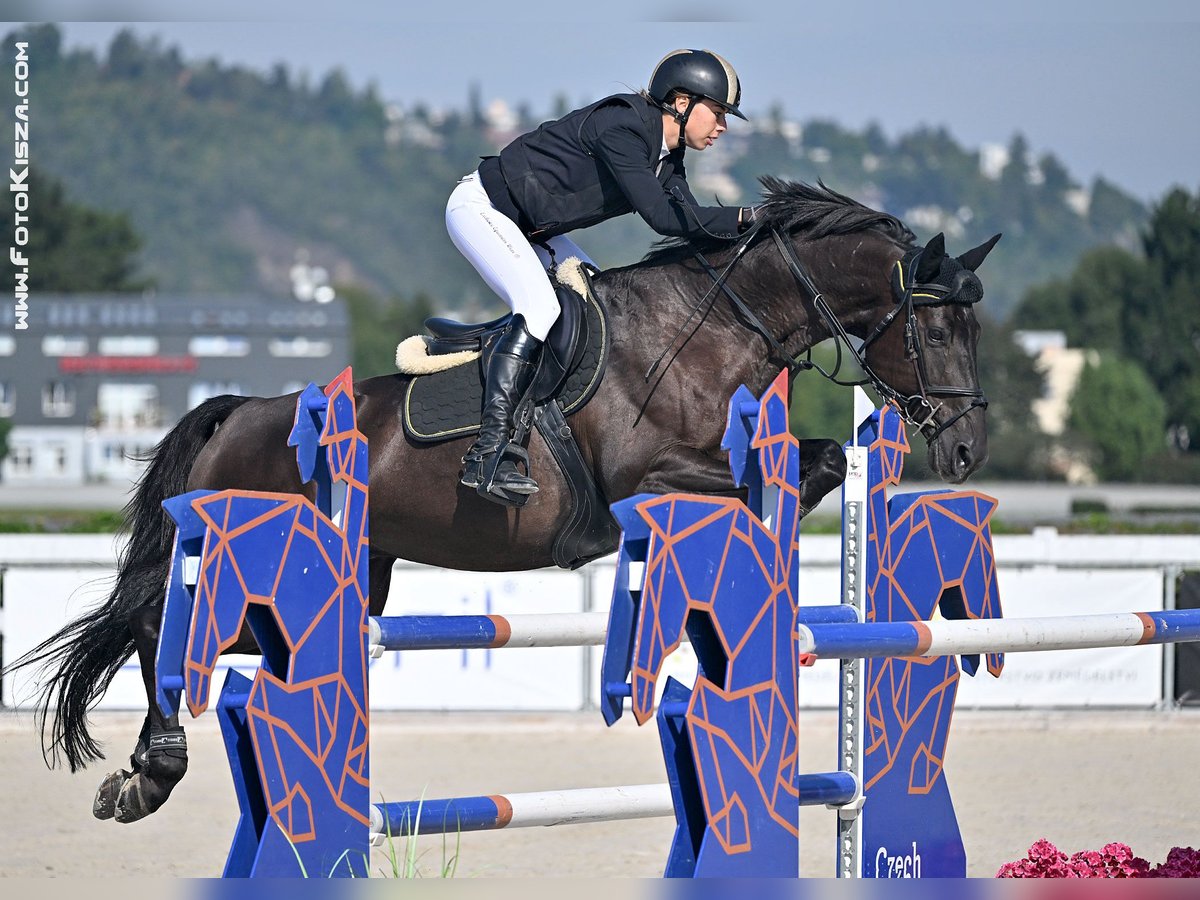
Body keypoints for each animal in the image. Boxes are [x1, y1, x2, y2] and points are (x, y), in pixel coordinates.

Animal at [14, 177, 998, 830]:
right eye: (934, 323)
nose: (965, 449)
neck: (715, 327)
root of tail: (238, 412)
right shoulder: (644, 478)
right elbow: (781, 477)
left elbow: (816, 462)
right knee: (160, 629)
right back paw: (150, 775)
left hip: (344, 578)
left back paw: (146, 774)